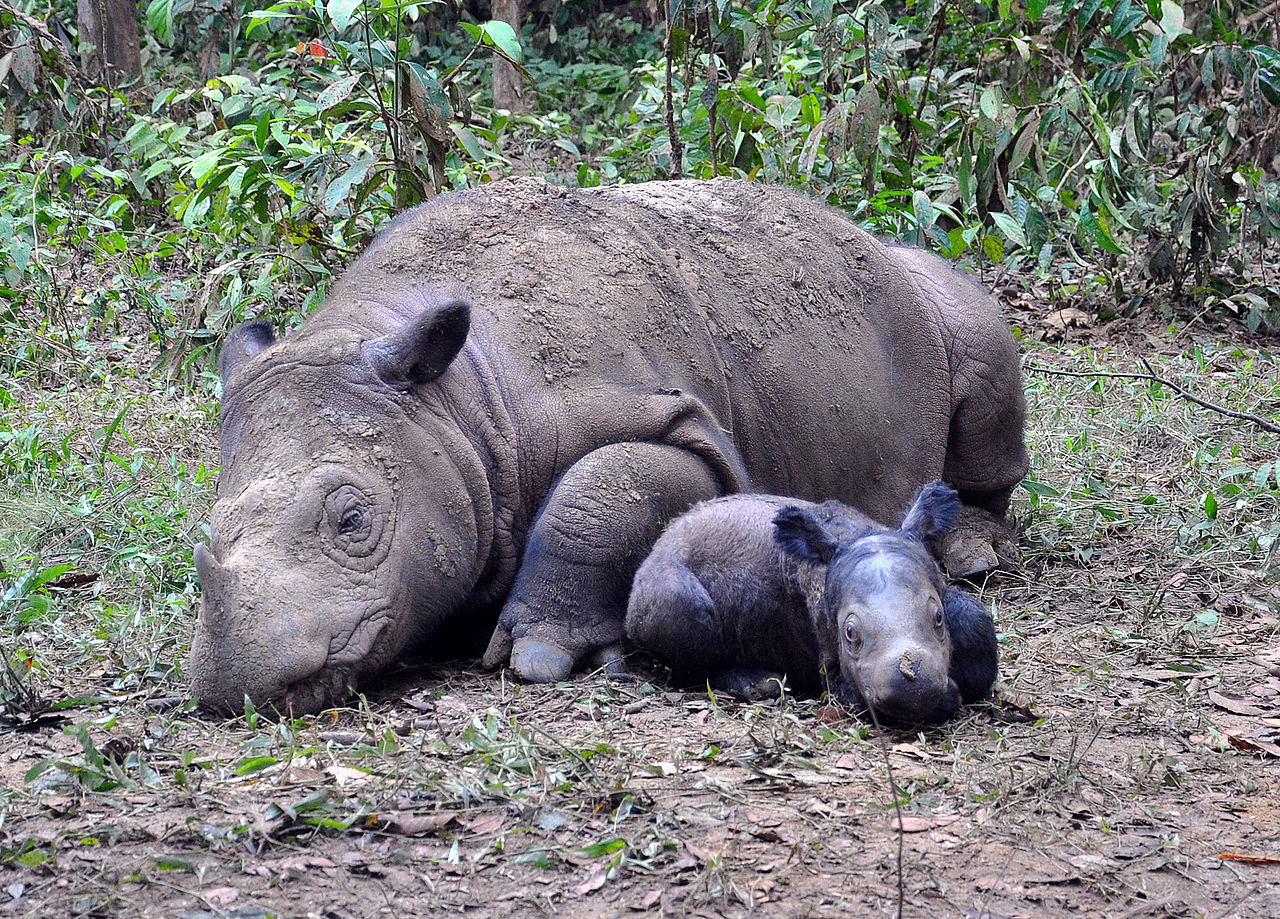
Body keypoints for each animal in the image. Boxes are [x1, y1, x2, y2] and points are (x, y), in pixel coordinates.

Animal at [625, 483, 999, 723]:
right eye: (850, 633)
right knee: (687, 617)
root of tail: (659, 543)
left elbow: (975, 623)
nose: (913, 689)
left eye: (938, 618)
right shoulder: (835, 668)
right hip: (660, 584)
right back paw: (756, 683)